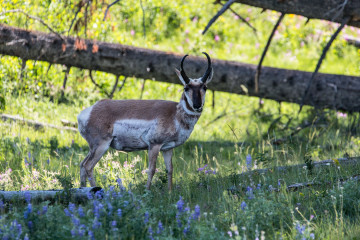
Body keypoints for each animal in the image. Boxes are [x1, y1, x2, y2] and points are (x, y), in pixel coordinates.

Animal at [77, 52, 212, 189]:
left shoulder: (167, 148)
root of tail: (90, 111)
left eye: (205, 87)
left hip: (93, 148)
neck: (175, 113)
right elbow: (151, 170)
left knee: (82, 165)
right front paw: (147, 190)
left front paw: (170, 191)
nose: (197, 105)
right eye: (186, 88)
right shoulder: (154, 145)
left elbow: (170, 169)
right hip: (101, 145)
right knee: (88, 166)